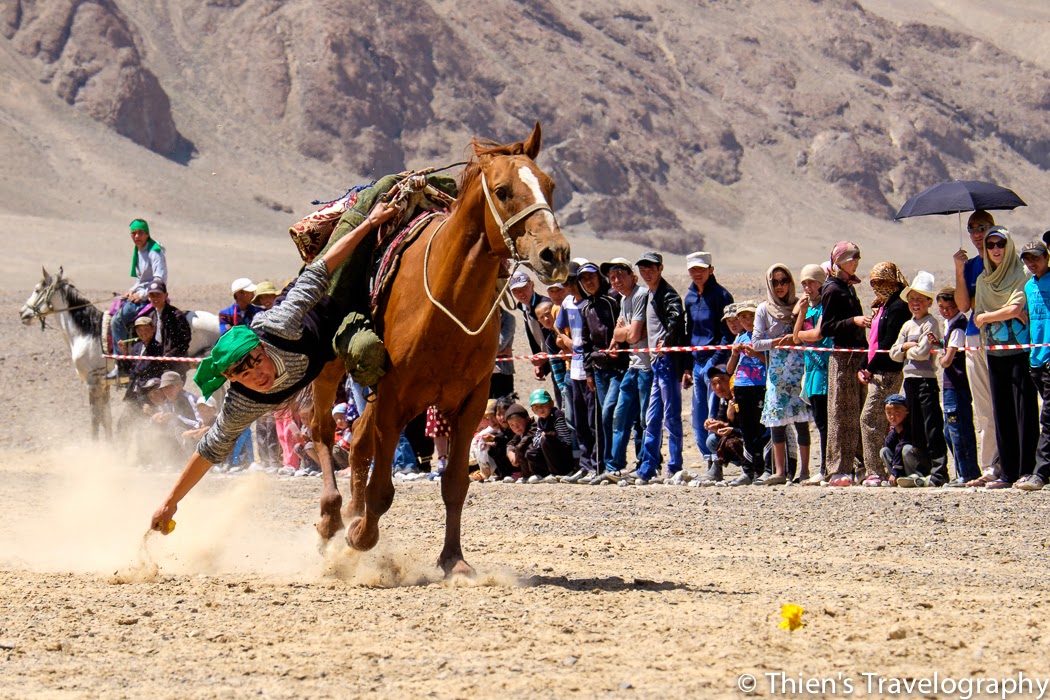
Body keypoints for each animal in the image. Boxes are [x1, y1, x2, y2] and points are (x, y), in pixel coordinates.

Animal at [19, 266, 221, 438]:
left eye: (37, 290)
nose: (23, 314)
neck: (87, 332)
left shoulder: (92, 382)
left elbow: (95, 419)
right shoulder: (103, 385)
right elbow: (106, 419)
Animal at [306, 124, 571, 575]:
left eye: (550, 185)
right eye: (502, 190)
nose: (555, 253)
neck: (448, 305)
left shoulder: (469, 403)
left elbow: (455, 484)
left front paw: (454, 562)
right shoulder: (394, 397)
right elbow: (382, 488)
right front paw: (360, 536)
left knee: (356, 442)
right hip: (330, 372)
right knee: (323, 433)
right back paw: (332, 518)